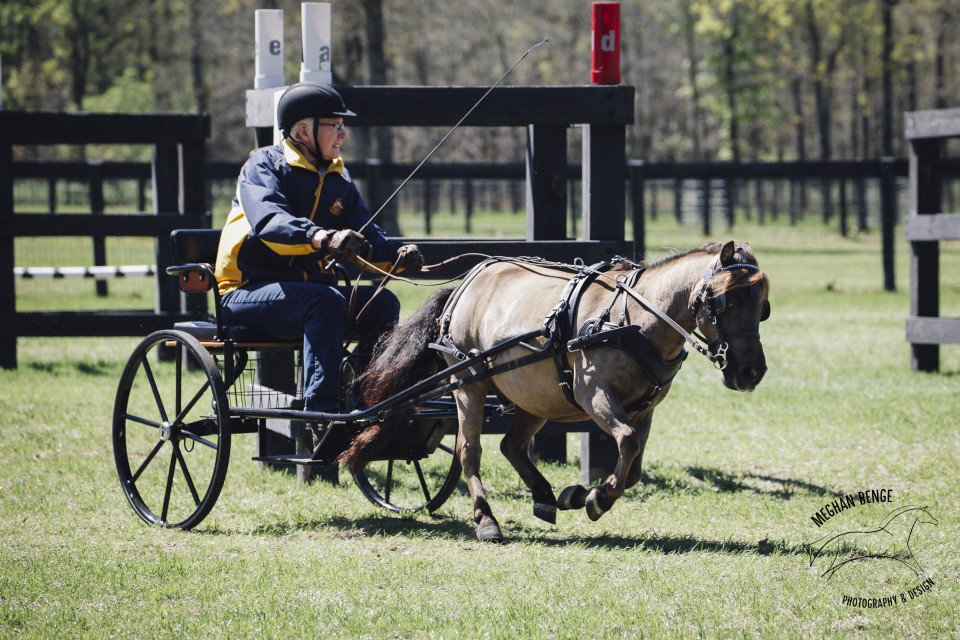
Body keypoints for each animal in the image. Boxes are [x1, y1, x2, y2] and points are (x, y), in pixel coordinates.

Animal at [342, 240, 768, 540]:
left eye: (763, 305)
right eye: (723, 301)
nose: (751, 372)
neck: (633, 318)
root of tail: (466, 284)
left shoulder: (645, 408)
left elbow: (633, 467)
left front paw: (580, 494)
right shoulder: (595, 395)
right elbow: (627, 442)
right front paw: (595, 499)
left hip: (535, 394)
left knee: (511, 445)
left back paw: (546, 497)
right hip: (470, 383)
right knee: (469, 450)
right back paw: (486, 519)